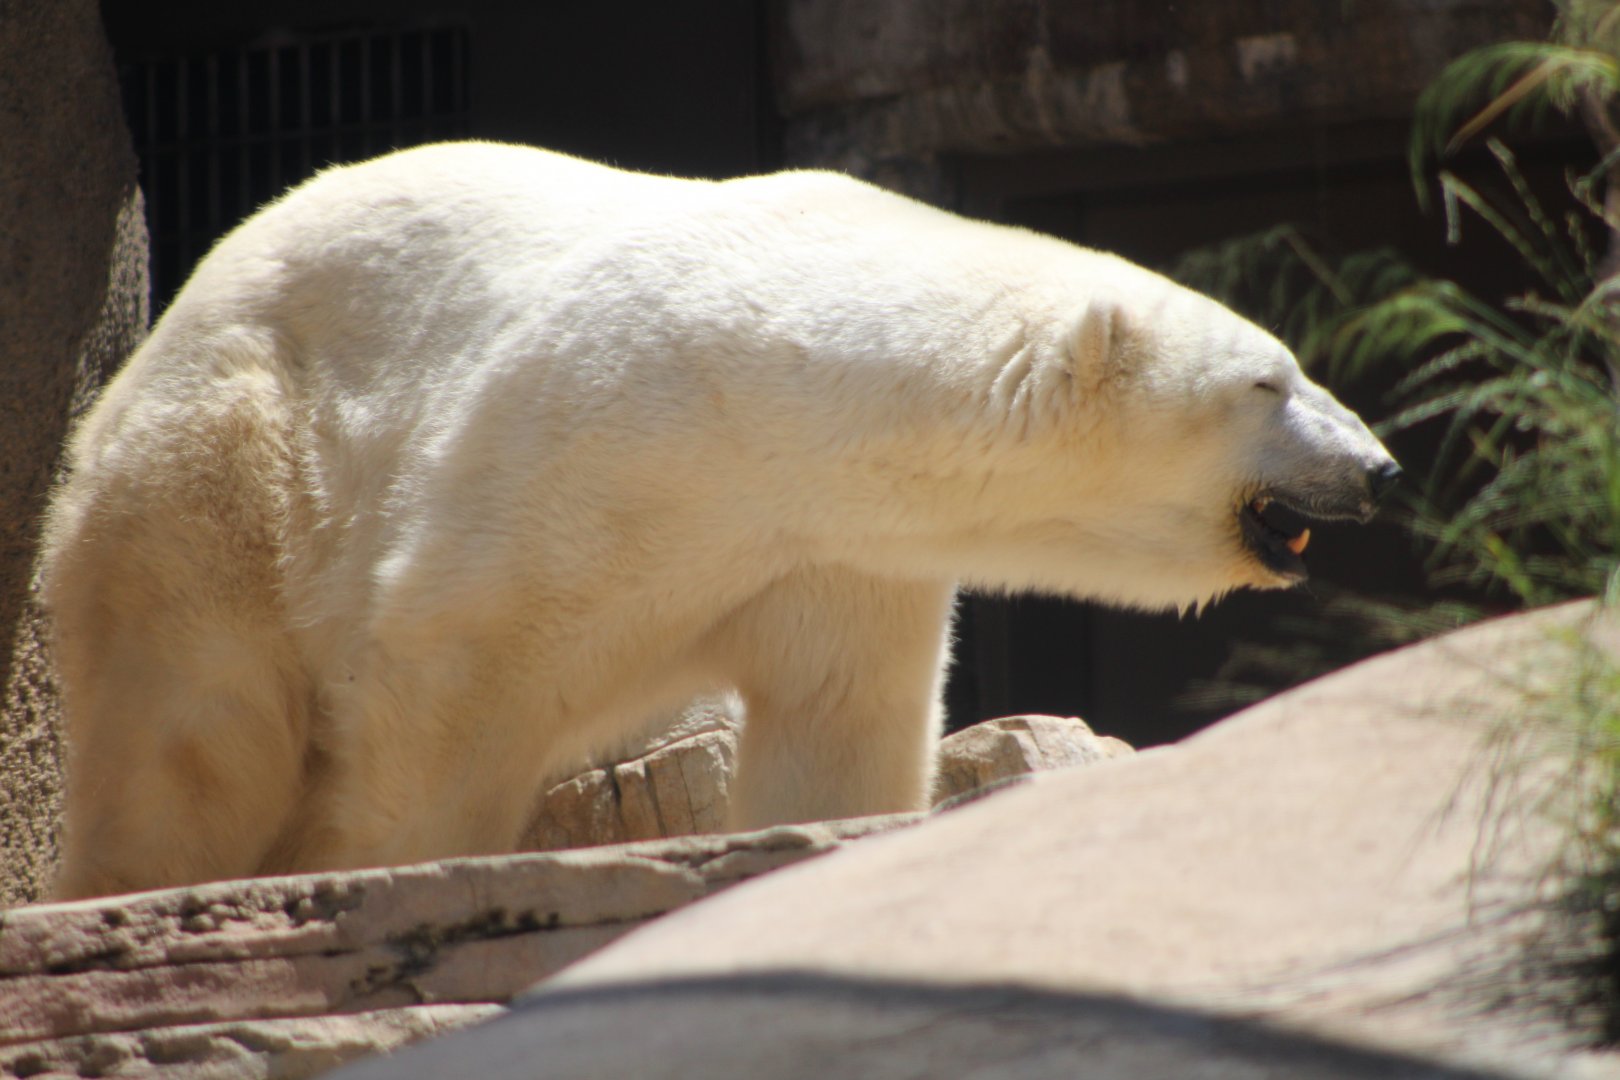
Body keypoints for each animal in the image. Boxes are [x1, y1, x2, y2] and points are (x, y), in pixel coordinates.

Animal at [41, 142, 1399, 899]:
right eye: (1269, 381)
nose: (1378, 469)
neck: (776, 399)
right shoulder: (591, 451)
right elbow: (446, 678)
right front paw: (386, 877)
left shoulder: (838, 551)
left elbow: (835, 723)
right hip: (222, 467)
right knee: (196, 726)